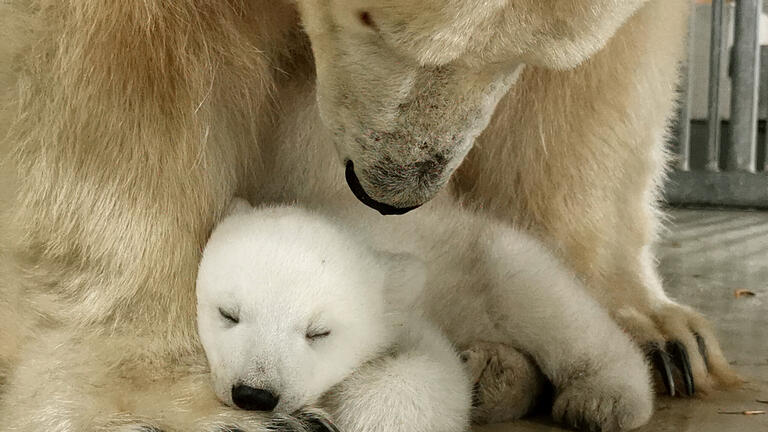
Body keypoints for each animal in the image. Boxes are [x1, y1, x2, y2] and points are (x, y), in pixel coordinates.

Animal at [1, 0, 736, 428]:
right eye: (375, 26)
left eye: (529, 56)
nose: (392, 192)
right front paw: (166, 402)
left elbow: (608, 76)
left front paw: (661, 330)